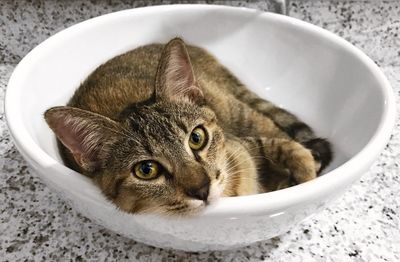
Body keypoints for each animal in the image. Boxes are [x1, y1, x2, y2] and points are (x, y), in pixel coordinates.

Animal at [43, 37, 332, 216]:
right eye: (146, 170)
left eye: (196, 138)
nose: (202, 189)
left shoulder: (242, 143)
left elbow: (283, 147)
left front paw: (304, 176)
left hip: (238, 111)